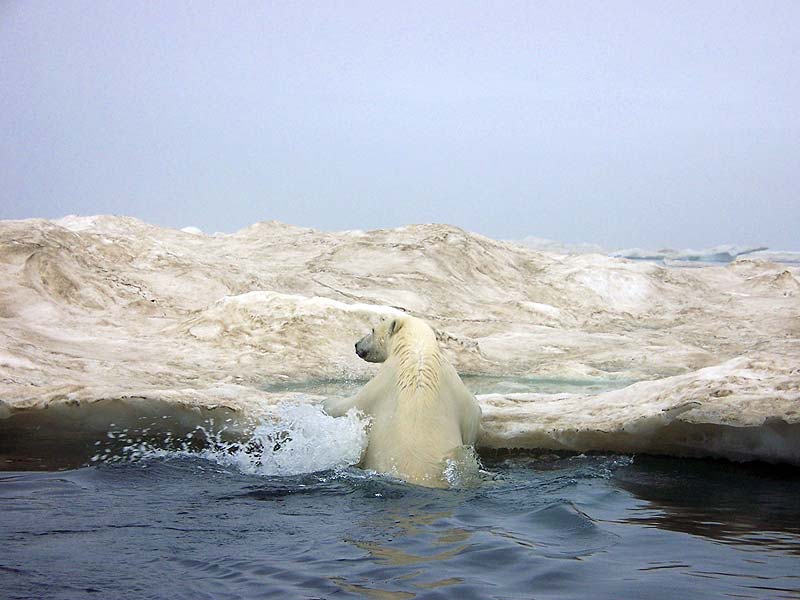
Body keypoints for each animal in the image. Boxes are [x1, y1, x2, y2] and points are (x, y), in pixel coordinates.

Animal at [320, 314, 482, 488]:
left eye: (372, 329)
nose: (357, 345)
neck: (418, 351)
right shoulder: (457, 388)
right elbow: (473, 416)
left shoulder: (382, 382)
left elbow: (354, 405)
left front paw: (327, 402)